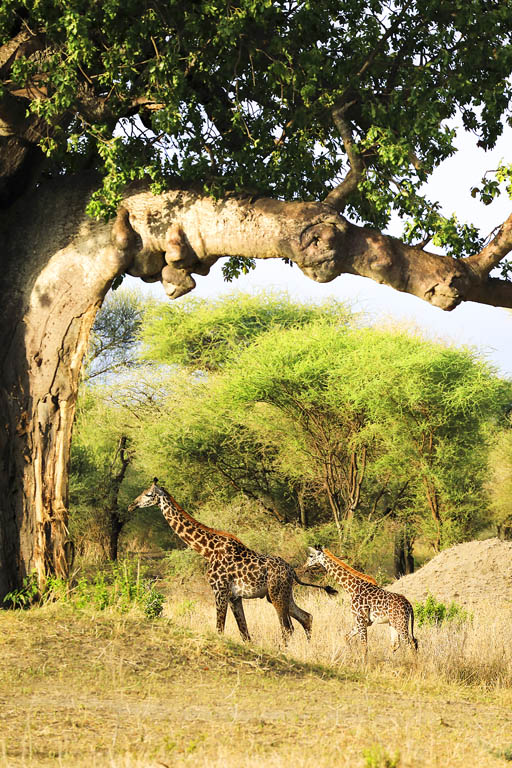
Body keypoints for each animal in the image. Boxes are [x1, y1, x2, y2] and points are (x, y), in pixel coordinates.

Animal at [128, 480, 336, 640]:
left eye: (147, 494)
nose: (131, 505)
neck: (207, 550)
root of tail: (292, 571)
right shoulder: (234, 596)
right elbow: (245, 633)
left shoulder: (219, 590)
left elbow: (220, 629)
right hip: (281, 595)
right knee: (306, 617)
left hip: (277, 594)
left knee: (288, 628)